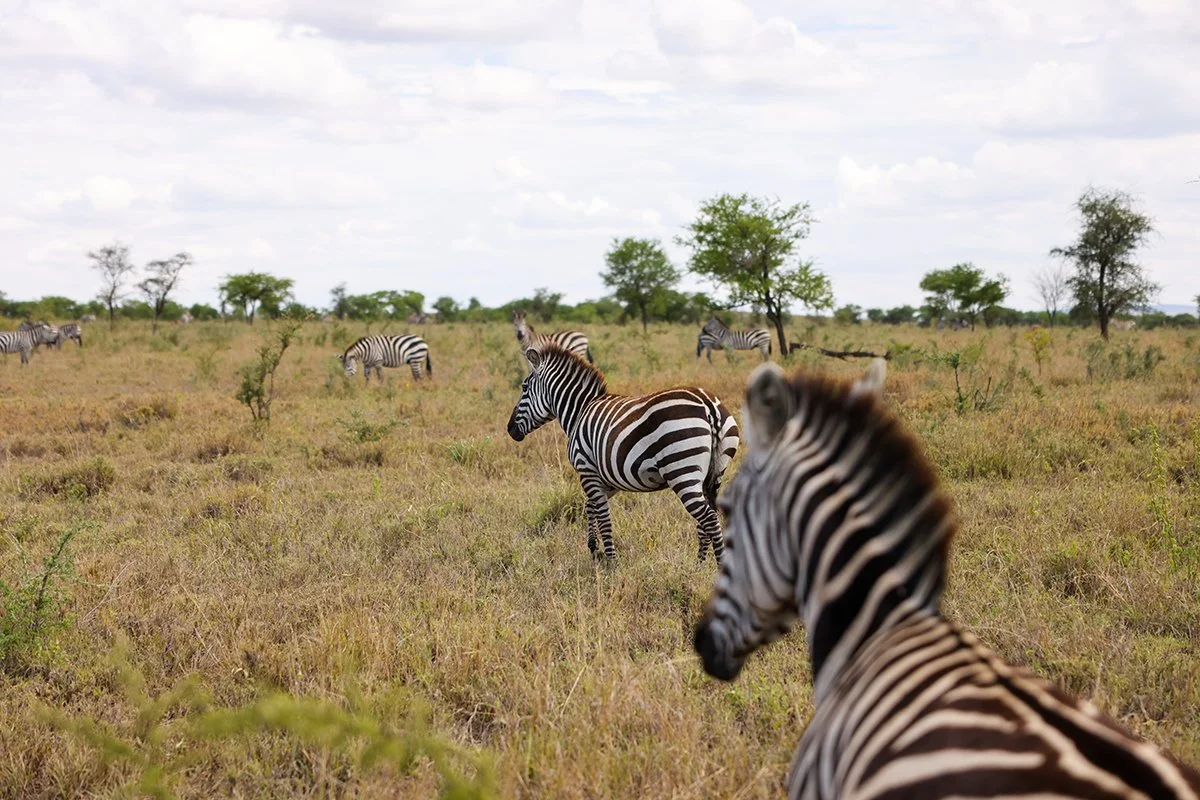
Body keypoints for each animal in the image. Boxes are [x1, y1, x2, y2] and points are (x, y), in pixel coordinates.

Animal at [506, 344, 739, 560]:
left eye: (524, 388)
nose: (509, 430)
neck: (580, 410)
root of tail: (708, 405)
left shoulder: (587, 469)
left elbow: (603, 516)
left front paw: (610, 561)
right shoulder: (607, 479)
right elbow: (590, 506)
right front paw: (594, 548)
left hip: (682, 471)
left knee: (709, 518)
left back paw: (718, 565)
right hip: (714, 472)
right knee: (707, 517)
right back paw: (699, 563)